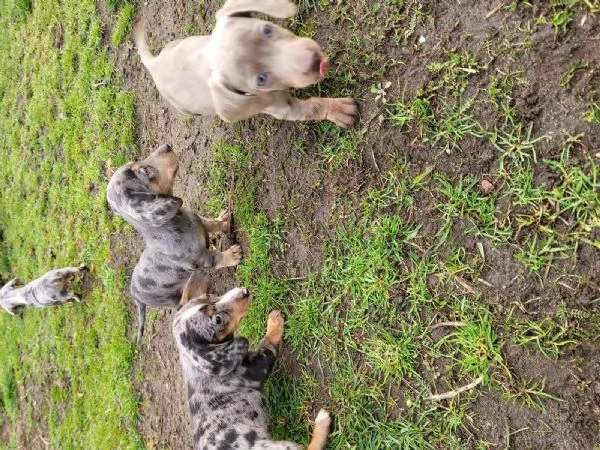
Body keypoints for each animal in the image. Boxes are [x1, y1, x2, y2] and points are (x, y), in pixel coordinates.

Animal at [106, 144, 243, 342]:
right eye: (144, 170)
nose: (167, 146)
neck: (175, 222)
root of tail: (135, 295)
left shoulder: (201, 222)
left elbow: (211, 224)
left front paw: (223, 220)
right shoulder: (200, 258)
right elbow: (217, 258)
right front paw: (233, 255)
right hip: (171, 298)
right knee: (183, 303)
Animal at [136, 0, 356, 126]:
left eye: (267, 29)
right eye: (261, 79)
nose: (315, 62)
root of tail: (154, 63)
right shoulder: (281, 108)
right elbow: (312, 107)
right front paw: (338, 110)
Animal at [173, 270, 332, 450]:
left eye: (209, 295)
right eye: (217, 320)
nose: (244, 291)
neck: (197, 367)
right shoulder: (261, 362)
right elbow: (268, 341)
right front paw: (274, 320)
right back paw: (322, 421)